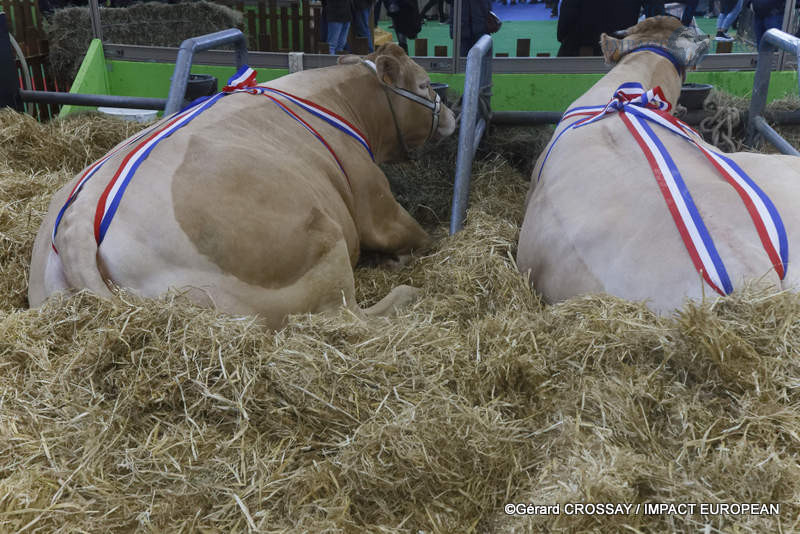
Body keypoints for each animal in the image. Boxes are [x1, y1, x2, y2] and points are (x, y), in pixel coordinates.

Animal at [29, 45, 456, 330]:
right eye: (423, 84)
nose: (451, 114)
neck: (341, 99)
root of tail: (80, 219)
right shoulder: (376, 203)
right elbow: (419, 234)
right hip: (319, 242)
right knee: (347, 317)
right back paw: (405, 293)